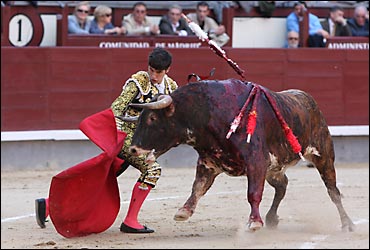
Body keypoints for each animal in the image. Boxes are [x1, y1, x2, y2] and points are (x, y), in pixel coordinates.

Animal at [125, 79, 356, 231]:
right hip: (275, 168)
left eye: (152, 118)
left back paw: (348, 224)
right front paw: (184, 211)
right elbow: (198, 187)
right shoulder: (209, 162)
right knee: (282, 186)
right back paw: (272, 219)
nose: (133, 149)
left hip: (323, 155)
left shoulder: (256, 162)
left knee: (333, 190)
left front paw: (254, 222)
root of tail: (308, 100)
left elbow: (253, 193)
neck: (208, 112)